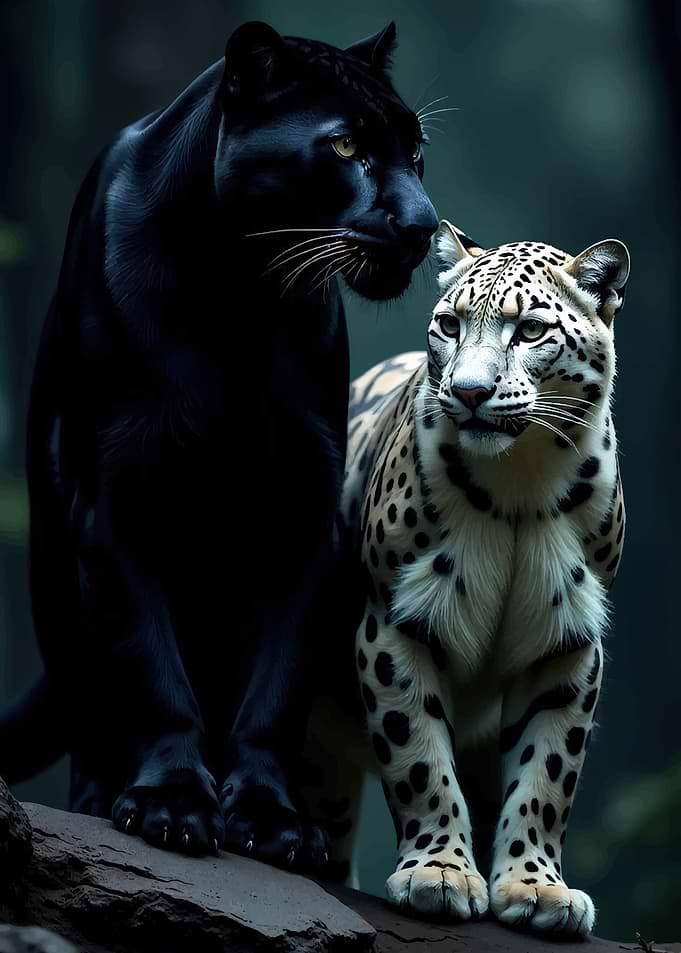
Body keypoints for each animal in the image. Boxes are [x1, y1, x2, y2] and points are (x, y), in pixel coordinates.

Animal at [330, 220, 629, 932]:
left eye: (530, 331)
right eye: (449, 324)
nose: (468, 392)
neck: (519, 484)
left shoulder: (567, 644)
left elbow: (547, 774)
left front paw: (536, 889)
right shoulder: (395, 623)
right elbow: (419, 759)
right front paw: (437, 874)